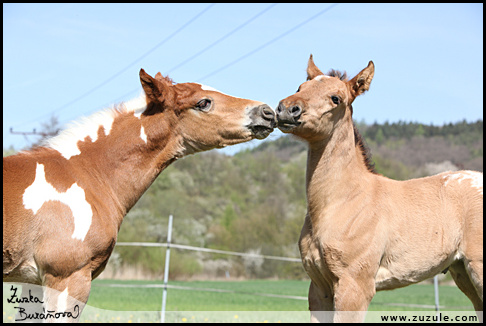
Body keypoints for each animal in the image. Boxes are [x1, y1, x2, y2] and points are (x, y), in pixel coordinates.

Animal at [278, 54, 482, 322]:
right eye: (300, 87)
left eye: (336, 98)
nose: (287, 109)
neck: (343, 202)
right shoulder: (319, 288)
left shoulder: (355, 286)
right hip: (463, 272)